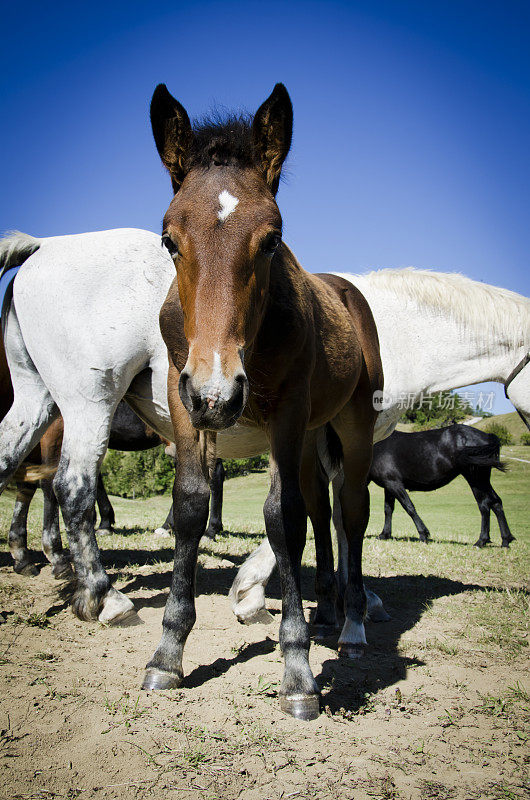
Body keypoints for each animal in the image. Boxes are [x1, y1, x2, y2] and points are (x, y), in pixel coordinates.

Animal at [140, 83, 380, 720]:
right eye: (169, 240)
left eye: (272, 239)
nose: (219, 393)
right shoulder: (183, 399)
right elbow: (191, 508)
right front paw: (167, 653)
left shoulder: (285, 412)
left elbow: (282, 518)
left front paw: (298, 673)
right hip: (309, 435)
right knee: (322, 509)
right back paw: (326, 612)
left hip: (351, 426)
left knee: (349, 511)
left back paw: (350, 627)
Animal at [368, 424, 512, 544]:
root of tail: (487, 436)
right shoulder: (388, 485)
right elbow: (388, 509)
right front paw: (384, 534)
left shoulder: (394, 483)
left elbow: (409, 507)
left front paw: (423, 534)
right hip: (483, 480)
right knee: (496, 502)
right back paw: (505, 540)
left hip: (475, 479)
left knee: (484, 505)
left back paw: (481, 541)